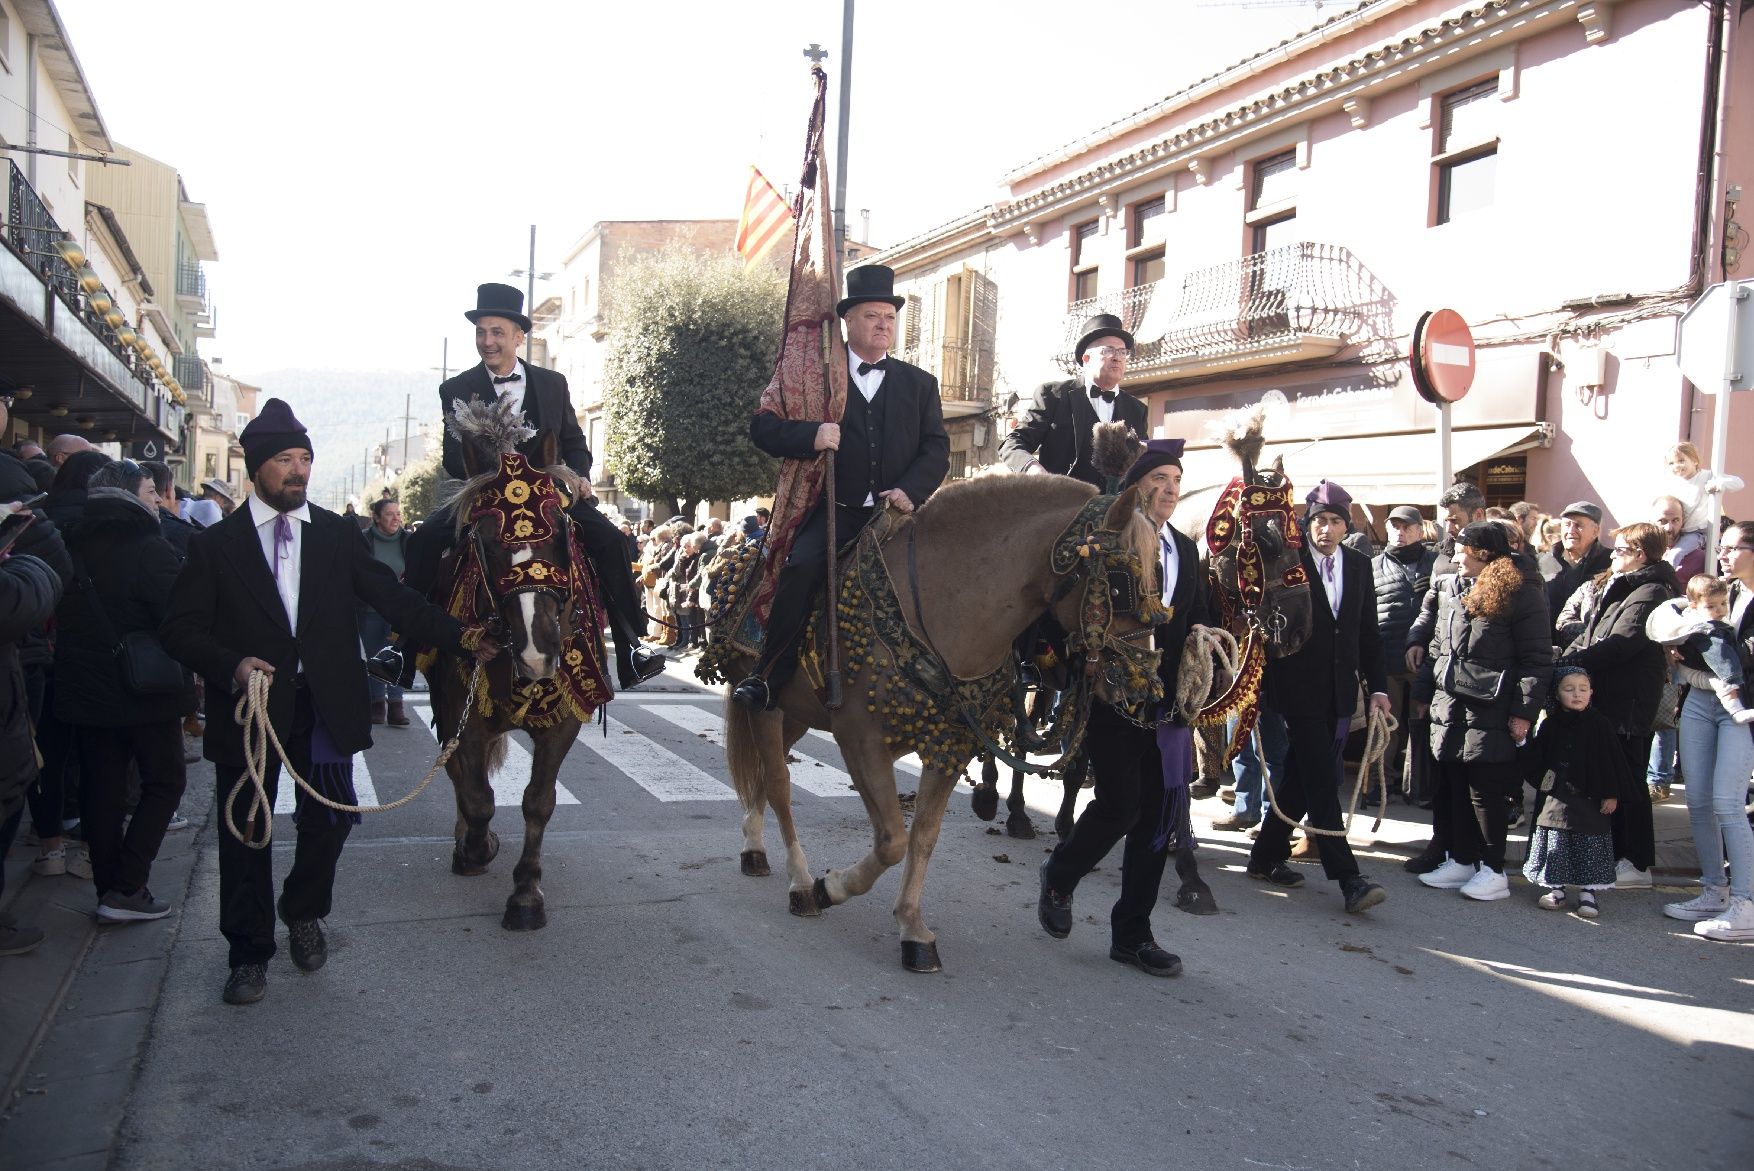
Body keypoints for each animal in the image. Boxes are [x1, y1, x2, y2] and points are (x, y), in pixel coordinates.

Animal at [429, 403, 610, 932]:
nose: (537, 651)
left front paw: (526, 893)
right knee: (458, 774)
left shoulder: (563, 723)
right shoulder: (464, 716)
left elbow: (537, 801)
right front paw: (475, 848)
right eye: (483, 540)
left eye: (562, 529)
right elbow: (478, 798)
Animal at [722, 476, 1164, 967]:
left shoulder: (950, 746)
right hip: (766, 702)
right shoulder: (859, 739)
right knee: (779, 784)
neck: (944, 602)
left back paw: (754, 845)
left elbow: (923, 837)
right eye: (1123, 583)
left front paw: (912, 929)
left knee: (768, 774)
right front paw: (830, 887)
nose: (1143, 689)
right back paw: (800, 883)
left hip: (797, 713)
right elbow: (892, 840)